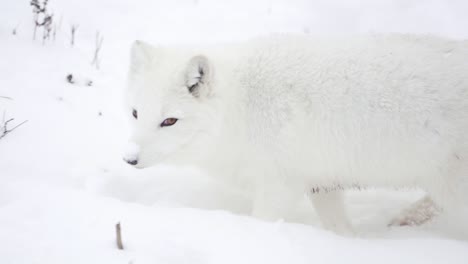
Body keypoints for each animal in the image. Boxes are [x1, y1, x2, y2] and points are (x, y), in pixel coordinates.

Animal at [121, 34, 468, 234]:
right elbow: (338, 226)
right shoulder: (322, 181)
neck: (240, 106)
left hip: (452, 186)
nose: (129, 159)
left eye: (169, 121)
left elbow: (261, 222)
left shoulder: (279, 184)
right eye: (135, 113)